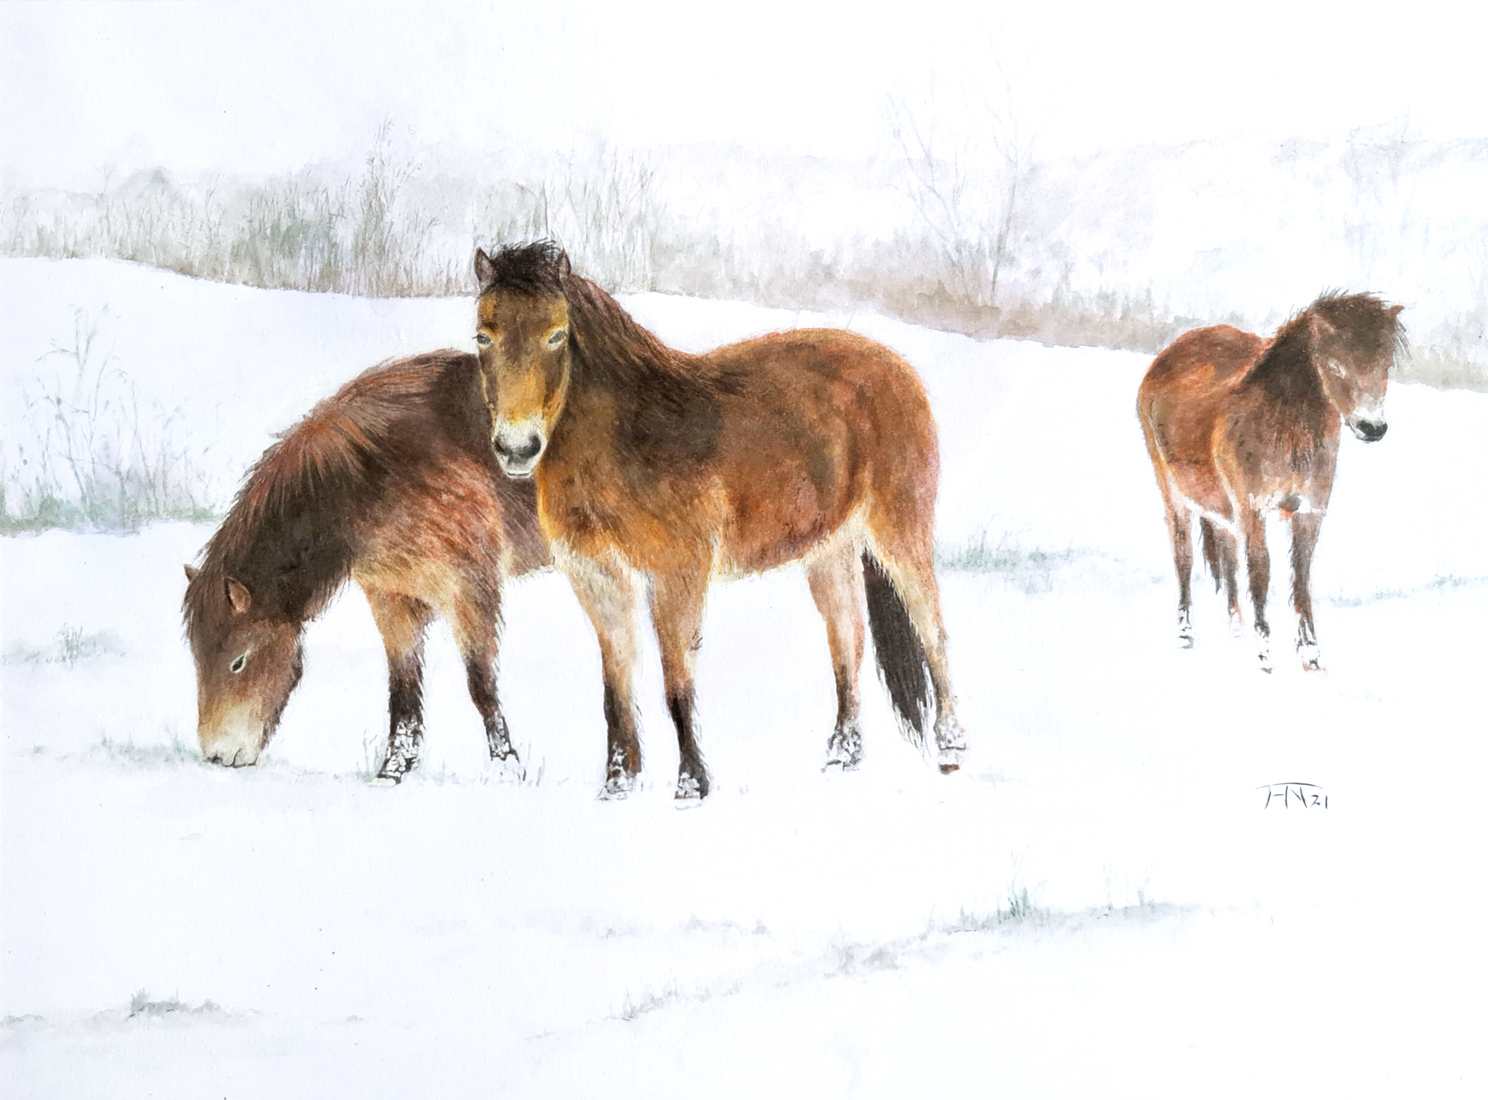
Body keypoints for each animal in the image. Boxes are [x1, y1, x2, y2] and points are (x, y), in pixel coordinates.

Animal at [183, 352, 550, 785]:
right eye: (196, 657)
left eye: (238, 662)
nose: (218, 755)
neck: (369, 479)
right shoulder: (392, 597)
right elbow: (403, 691)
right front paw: (393, 771)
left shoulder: (469, 591)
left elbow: (481, 684)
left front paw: (508, 768)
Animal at [470, 245, 970, 803]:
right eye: (483, 336)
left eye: (556, 334)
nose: (517, 448)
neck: (629, 438)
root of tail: (894, 365)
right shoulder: (597, 577)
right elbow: (616, 685)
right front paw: (618, 783)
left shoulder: (677, 575)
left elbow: (676, 680)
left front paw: (691, 783)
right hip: (829, 550)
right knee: (847, 637)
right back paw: (843, 753)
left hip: (899, 533)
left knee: (932, 630)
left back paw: (950, 747)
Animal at [1136, 293, 1404, 669]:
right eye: (1335, 365)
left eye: (1384, 366)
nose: (1372, 428)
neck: (1284, 427)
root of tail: (1170, 353)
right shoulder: (1252, 510)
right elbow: (1260, 573)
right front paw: (1265, 656)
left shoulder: (1310, 512)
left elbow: (1301, 576)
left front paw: (1311, 655)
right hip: (1174, 495)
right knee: (1184, 558)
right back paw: (1186, 634)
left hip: (1222, 510)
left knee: (1228, 562)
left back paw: (1235, 634)